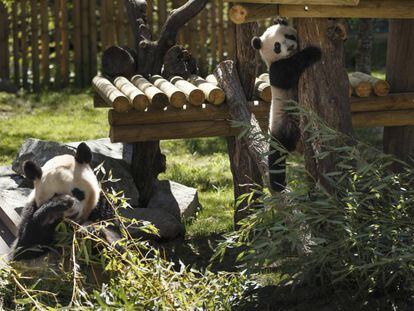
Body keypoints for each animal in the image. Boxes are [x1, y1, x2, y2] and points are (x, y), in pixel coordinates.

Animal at [251, 18, 322, 193]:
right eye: (277, 46)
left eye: (288, 36)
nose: (289, 46)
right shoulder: (277, 70)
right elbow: (290, 69)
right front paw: (314, 52)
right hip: (282, 124)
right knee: (276, 155)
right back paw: (278, 185)